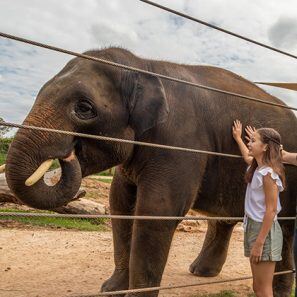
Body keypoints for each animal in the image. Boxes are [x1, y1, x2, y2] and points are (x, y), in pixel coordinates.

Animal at [4, 47, 296, 294]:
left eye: (84, 108)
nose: (67, 153)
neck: (145, 66)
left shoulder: (180, 140)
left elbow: (157, 210)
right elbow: (120, 203)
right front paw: (110, 289)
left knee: (284, 225)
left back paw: (279, 290)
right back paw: (200, 272)